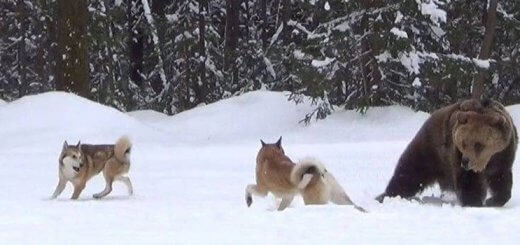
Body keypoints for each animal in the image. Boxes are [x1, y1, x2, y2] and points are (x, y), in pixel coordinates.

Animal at [378, 98, 516, 206]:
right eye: (463, 143)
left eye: (478, 144)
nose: (465, 161)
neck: (487, 162)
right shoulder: (456, 154)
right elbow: (469, 182)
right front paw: (474, 202)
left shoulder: (504, 155)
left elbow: (501, 179)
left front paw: (493, 200)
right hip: (431, 150)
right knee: (409, 172)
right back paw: (386, 195)